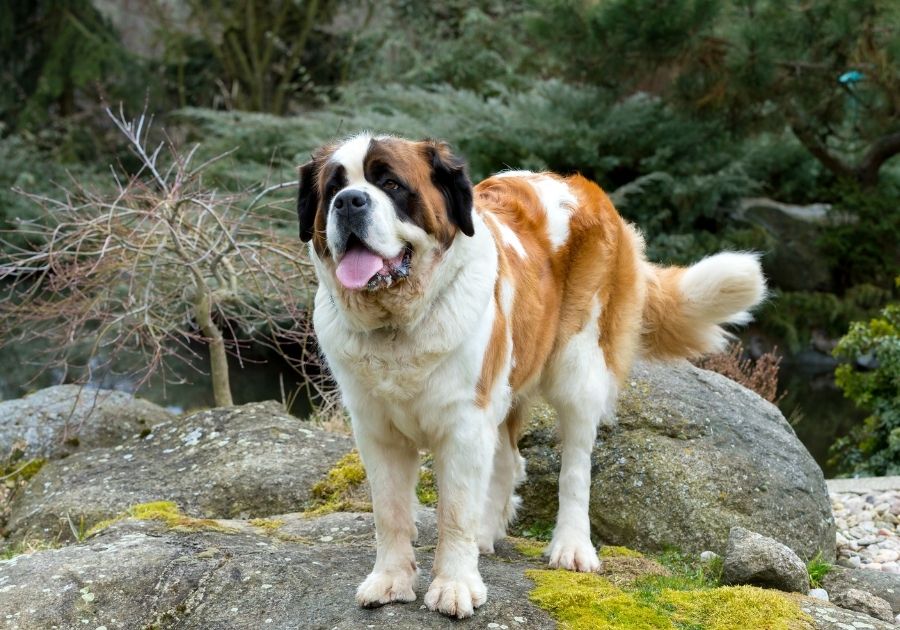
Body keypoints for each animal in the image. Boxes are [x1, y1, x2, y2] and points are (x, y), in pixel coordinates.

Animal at [298, 135, 768, 624]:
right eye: (333, 188)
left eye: (390, 183)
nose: (349, 201)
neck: (398, 325)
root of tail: (582, 187)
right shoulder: (377, 430)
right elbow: (389, 512)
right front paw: (391, 581)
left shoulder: (465, 424)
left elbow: (454, 512)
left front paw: (454, 585)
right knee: (508, 462)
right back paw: (487, 534)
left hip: (578, 368)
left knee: (576, 466)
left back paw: (572, 546)